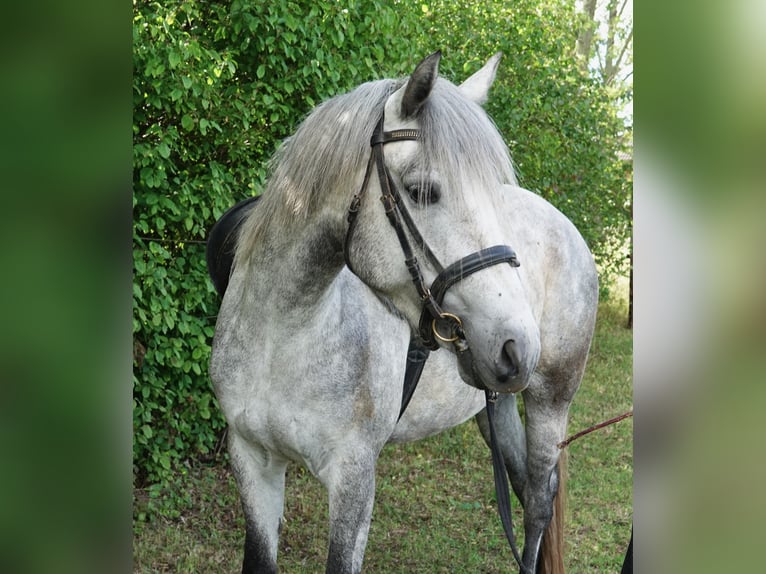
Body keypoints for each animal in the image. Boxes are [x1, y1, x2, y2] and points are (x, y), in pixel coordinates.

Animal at [209, 52, 598, 574]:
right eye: (423, 191)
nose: (518, 345)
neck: (283, 335)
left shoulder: (353, 479)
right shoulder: (254, 461)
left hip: (551, 400)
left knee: (539, 501)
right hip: (495, 406)